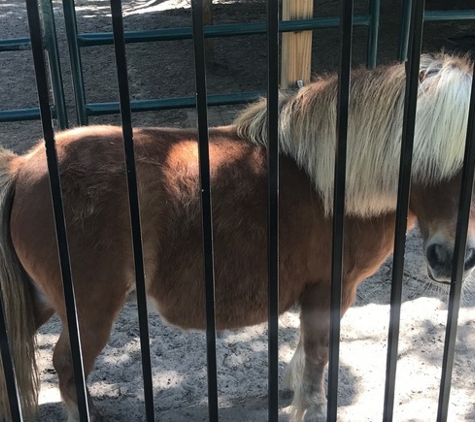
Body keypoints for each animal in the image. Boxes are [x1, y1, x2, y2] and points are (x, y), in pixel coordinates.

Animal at [0, 53, 474, 422]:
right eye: (428, 156)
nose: (454, 258)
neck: (331, 181)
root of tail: (24, 168)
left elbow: (305, 354)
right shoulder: (330, 290)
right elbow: (317, 362)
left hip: (43, 299)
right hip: (88, 311)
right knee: (66, 366)